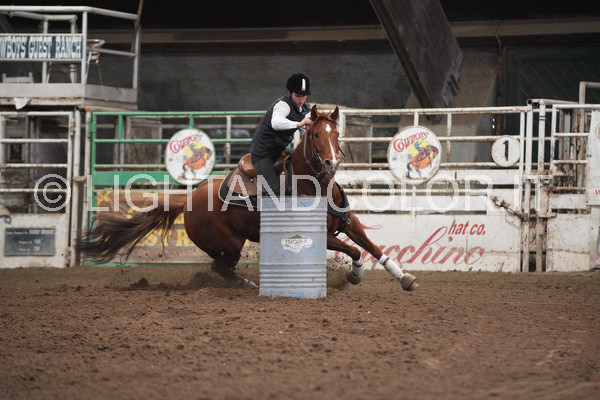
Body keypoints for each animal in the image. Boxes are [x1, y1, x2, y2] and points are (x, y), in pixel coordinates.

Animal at [77, 106, 418, 291]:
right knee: (221, 269)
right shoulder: (320, 234)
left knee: (220, 269)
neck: (316, 186)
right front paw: (354, 276)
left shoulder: (349, 222)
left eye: (336, 135)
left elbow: (373, 248)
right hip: (229, 244)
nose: (331, 163)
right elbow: (355, 252)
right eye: (316, 134)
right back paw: (248, 284)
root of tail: (187, 201)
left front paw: (405, 278)